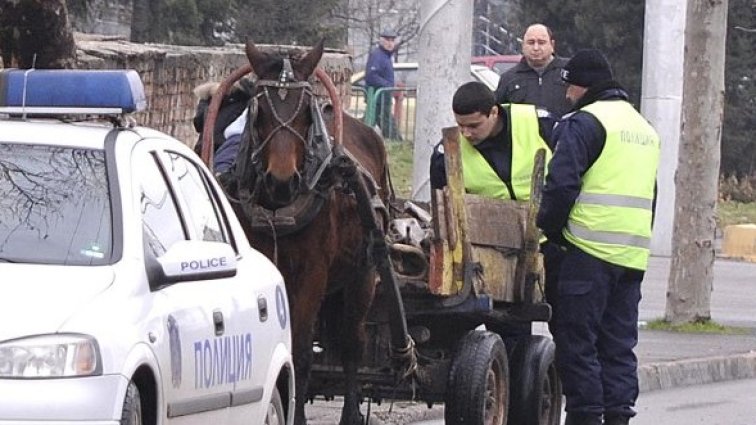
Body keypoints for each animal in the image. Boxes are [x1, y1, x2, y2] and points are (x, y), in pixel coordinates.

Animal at [230, 40, 390, 424]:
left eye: (305, 111)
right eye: (260, 111)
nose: (282, 180)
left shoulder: (312, 274)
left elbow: (302, 354)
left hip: (363, 272)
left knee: (352, 344)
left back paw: (350, 412)